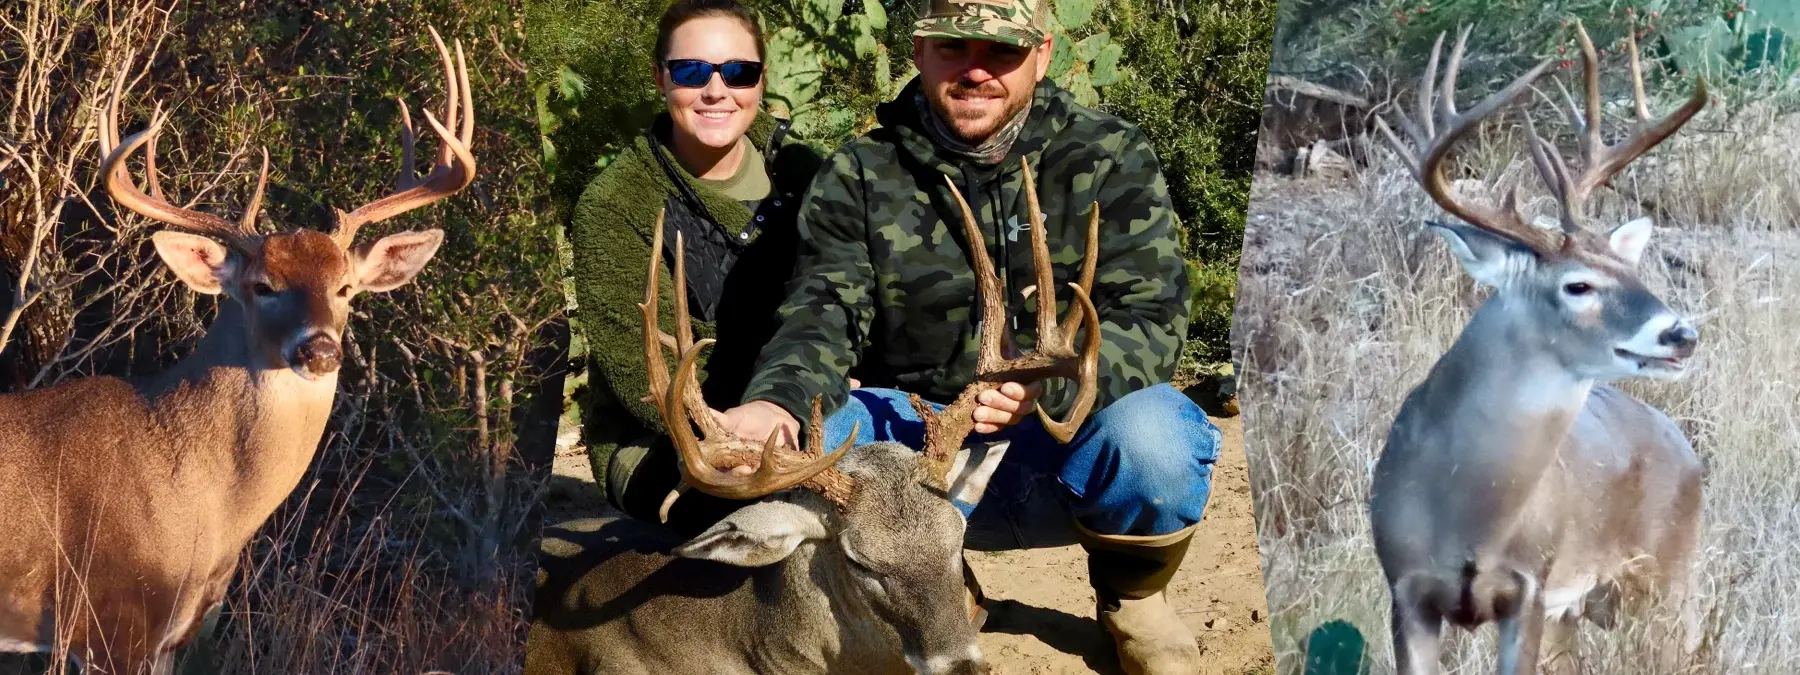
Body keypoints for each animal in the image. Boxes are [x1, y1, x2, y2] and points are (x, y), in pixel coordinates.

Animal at [1366, 23, 1707, 675]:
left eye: (1634, 272)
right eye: (1578, 285)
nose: (1682, 335)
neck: (1470, 517)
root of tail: (1685, 446)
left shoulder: (1531, 589)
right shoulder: (1404, 588)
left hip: (1667, 576)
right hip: (1586, 606)